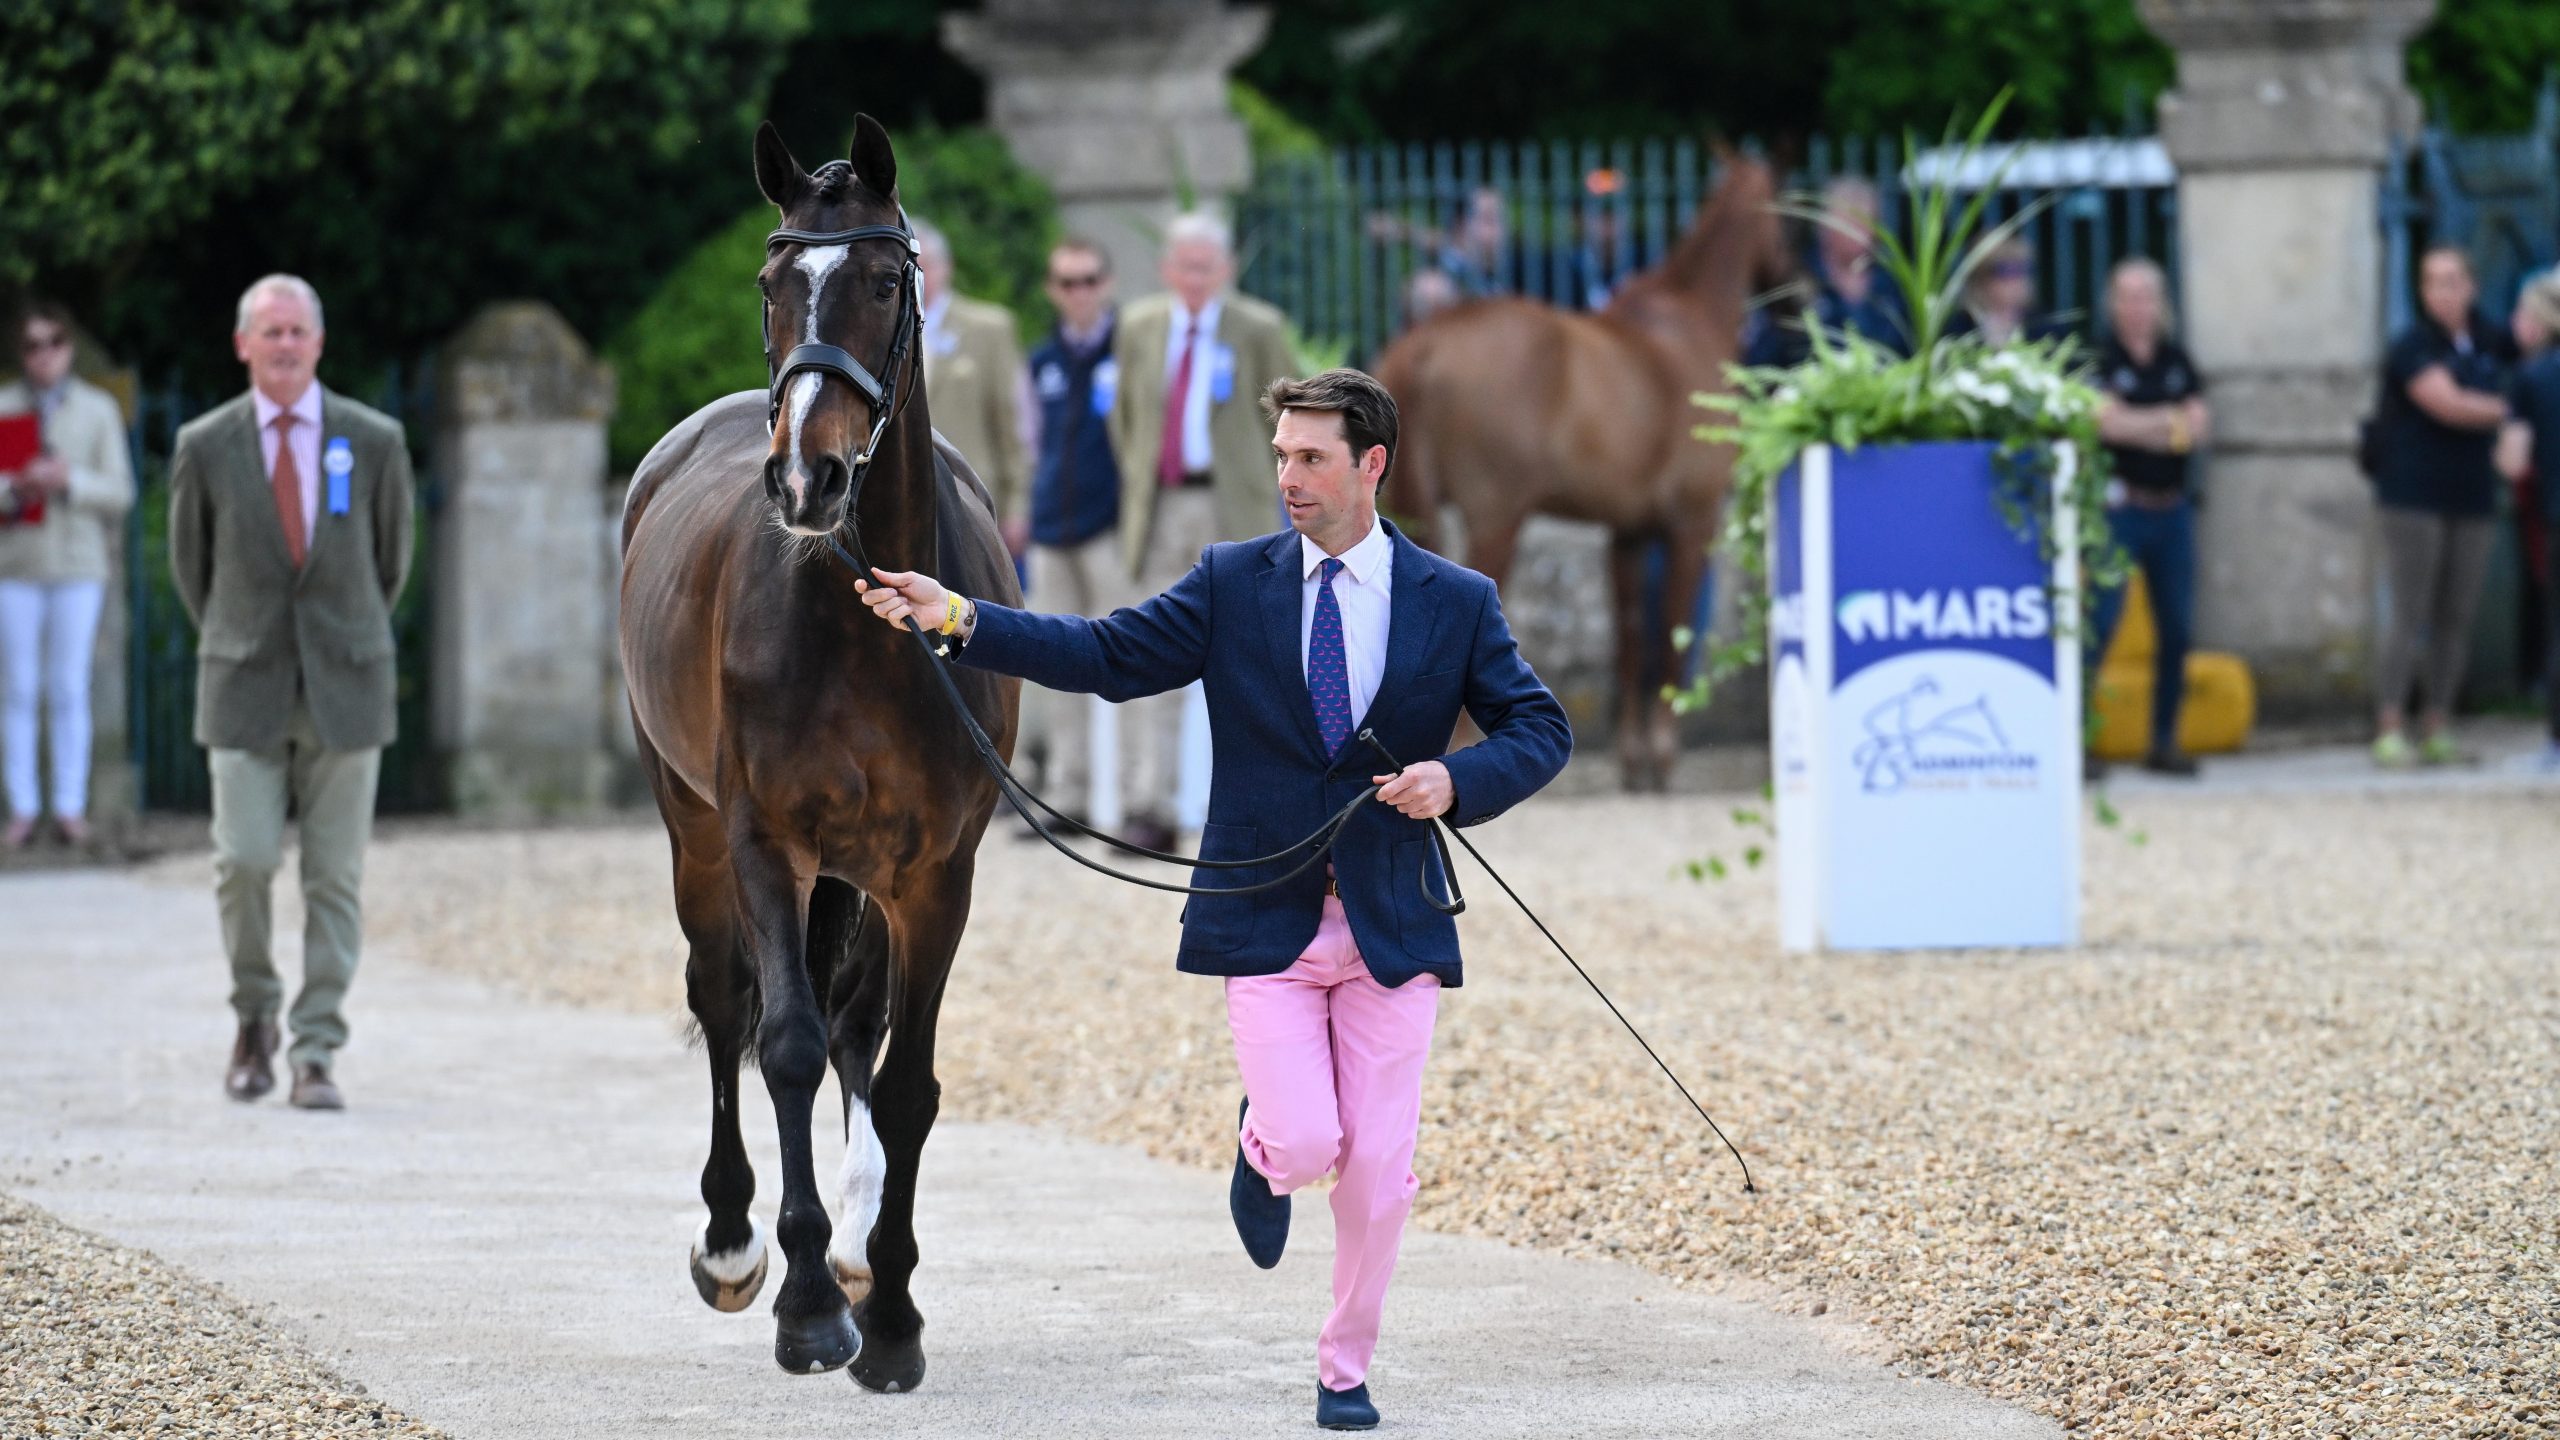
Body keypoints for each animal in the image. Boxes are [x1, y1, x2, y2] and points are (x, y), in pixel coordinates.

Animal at [617, 114, 1019, 1394]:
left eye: (887, 281)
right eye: (770, 284)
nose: (807, 477)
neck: (862, 623)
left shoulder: (939, 873)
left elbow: (906, 1084)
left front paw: (885, 1313)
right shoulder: (765, 843)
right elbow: (783, 1046)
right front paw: (802, 1308)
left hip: (868, 873)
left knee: (856, 1026)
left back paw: (850, 1239)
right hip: (693, 830)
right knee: (726, 1002)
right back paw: (738, 1244)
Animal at [1373, 154, 1795, 790]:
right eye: (1788, 212)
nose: (1800, 301)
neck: (1689, 322)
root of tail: (1425, 340)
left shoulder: (1628, 533)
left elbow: (1629, 639)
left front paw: (1632, 760)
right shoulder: (1691, 525)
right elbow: (1670, 636)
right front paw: (1661, 758)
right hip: (1496, 519)